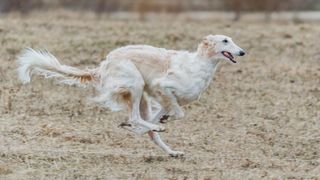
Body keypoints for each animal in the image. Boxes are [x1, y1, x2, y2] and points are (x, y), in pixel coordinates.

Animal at [17, 34, 246, 156]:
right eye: (225, 41)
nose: (242, 52)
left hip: (142, 95)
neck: (199, 65)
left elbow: (161, 117)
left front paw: (154, 123)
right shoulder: (163, 87)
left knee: (146, 127)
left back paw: (171, 150)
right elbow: (177, 114)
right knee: (135, 117)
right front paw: (153, 124)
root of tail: (103, 65)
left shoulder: (166, 99)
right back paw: (151, 128)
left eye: (232, 40)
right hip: (136, 84)